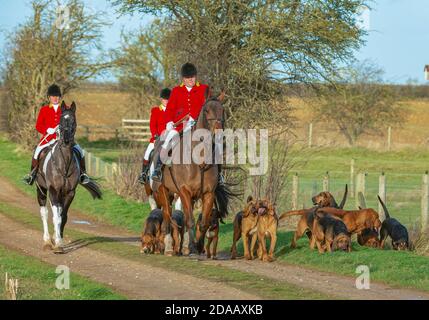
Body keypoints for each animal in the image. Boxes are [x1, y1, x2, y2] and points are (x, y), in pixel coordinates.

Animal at [35, 101, 102, 254]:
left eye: (73, 121)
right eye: (60, 121)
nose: (65, 140)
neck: (64, 163)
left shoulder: (70, 192)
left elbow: (63, 217)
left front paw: (59, 240)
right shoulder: (53, 191)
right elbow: (55, 216)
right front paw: (57, 242)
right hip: (41, 189)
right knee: (44, 212)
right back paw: (47, 241)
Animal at [150, 92, 236, 255]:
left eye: (223, 111)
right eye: (207, 110)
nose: (219, 134)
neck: (199, 160)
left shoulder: (208, 193)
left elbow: (203, 223)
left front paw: (199, 246)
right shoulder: (185, 191)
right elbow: (190, 221)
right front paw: (191, 247)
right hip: (163, 191)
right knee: (168, 216)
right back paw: (169, 247)